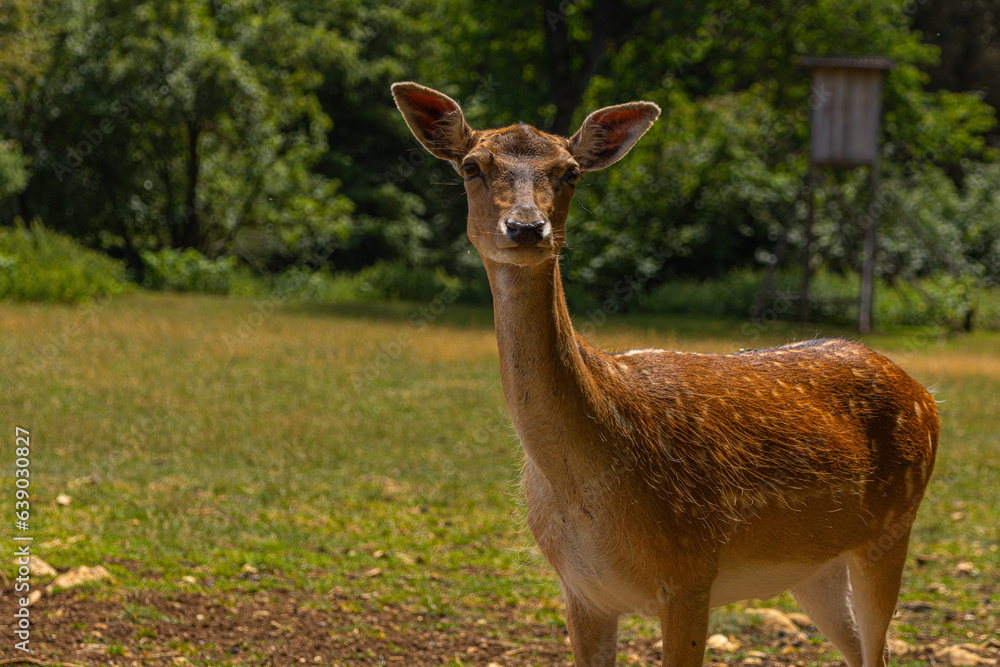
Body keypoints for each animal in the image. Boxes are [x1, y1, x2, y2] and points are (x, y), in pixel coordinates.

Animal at [390, 82, 936, 667]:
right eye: (472, 165)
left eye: (570, 172)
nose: (526, 226)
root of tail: (924, 393)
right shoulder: (582, 590)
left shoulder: (691, 569)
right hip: (814, 564)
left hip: (893, 526)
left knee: (879, 646)